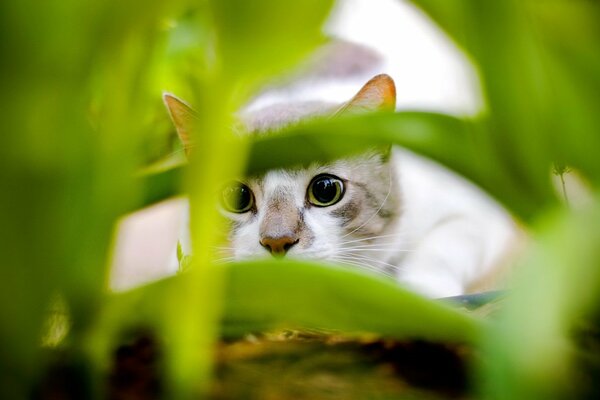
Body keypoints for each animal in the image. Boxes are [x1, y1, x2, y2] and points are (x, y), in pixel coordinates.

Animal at [163, 73, 516, 298]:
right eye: (237, 197)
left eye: (325, 190)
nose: (277, 241)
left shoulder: (475, 211)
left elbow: (442, 248)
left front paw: (423, 292)